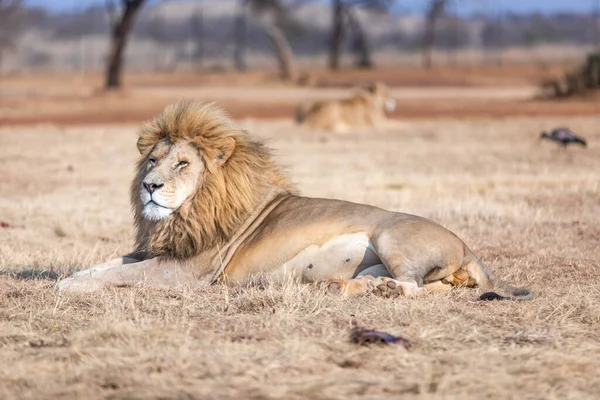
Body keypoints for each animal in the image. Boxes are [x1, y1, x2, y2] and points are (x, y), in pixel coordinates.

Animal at [58, 101, 532, 302]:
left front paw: (68, 286)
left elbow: (119, 274)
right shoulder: (159, 250)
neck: (186, 213)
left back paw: (383, 291)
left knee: (419, 289)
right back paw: (345, 287)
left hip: (392, 236)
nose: (149, 186)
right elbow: (106, 263)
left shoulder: (188, 271)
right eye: (152, 160)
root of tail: (468, 247)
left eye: (182, 164)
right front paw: (66, 277)